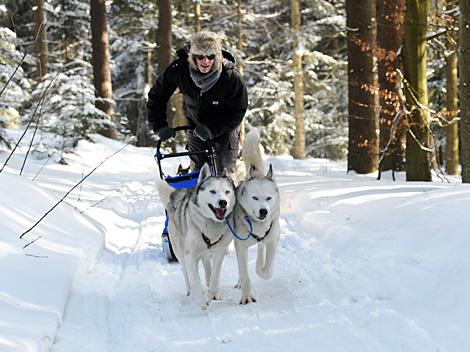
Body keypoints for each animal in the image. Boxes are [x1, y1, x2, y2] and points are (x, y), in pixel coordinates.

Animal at [156, 164, 235, 310]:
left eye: (227, 192)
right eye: (212, 191)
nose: (223, 202)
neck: (210, 225)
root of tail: (177, 193)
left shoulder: (219, 251)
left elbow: (215, 275)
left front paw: (213, 293)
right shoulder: (190, 255)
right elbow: (195, 280)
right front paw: (202, 300)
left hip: (204, 252)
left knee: (207, 265)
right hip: (179, 251)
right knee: (185, 271)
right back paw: (190, 290)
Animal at [230, 128, 280, 304]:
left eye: (268, 198)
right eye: (255, 198)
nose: (263, 211)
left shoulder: (273, 240)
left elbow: (266, 270)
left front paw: (260, 268)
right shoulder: (241, 246)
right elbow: (245, 274)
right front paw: (246, 296)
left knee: (260, 247)